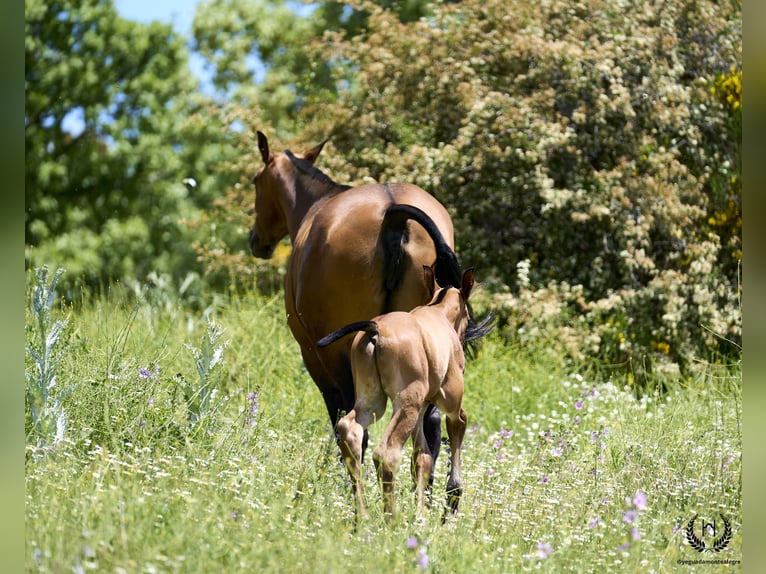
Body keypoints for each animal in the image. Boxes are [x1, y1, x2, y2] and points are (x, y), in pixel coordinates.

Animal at [249, 134, 476, 472]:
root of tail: (393, 213)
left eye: (255, 181)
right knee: (430, 425)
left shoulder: (316, 356)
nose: (255, 240)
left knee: (357, 426)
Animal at [316, 268, 474, 520]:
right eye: (467, 316)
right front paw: (450, 501)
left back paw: (363, 516)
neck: (437, 311)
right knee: (386, 453)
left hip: (374, 403)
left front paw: (422, 515)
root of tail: (375, 329)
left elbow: (422, 458)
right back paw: (391, 518)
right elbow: (458, 427)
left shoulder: (422, 409)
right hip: (405, 404)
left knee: (350, 431)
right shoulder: (450, 405)